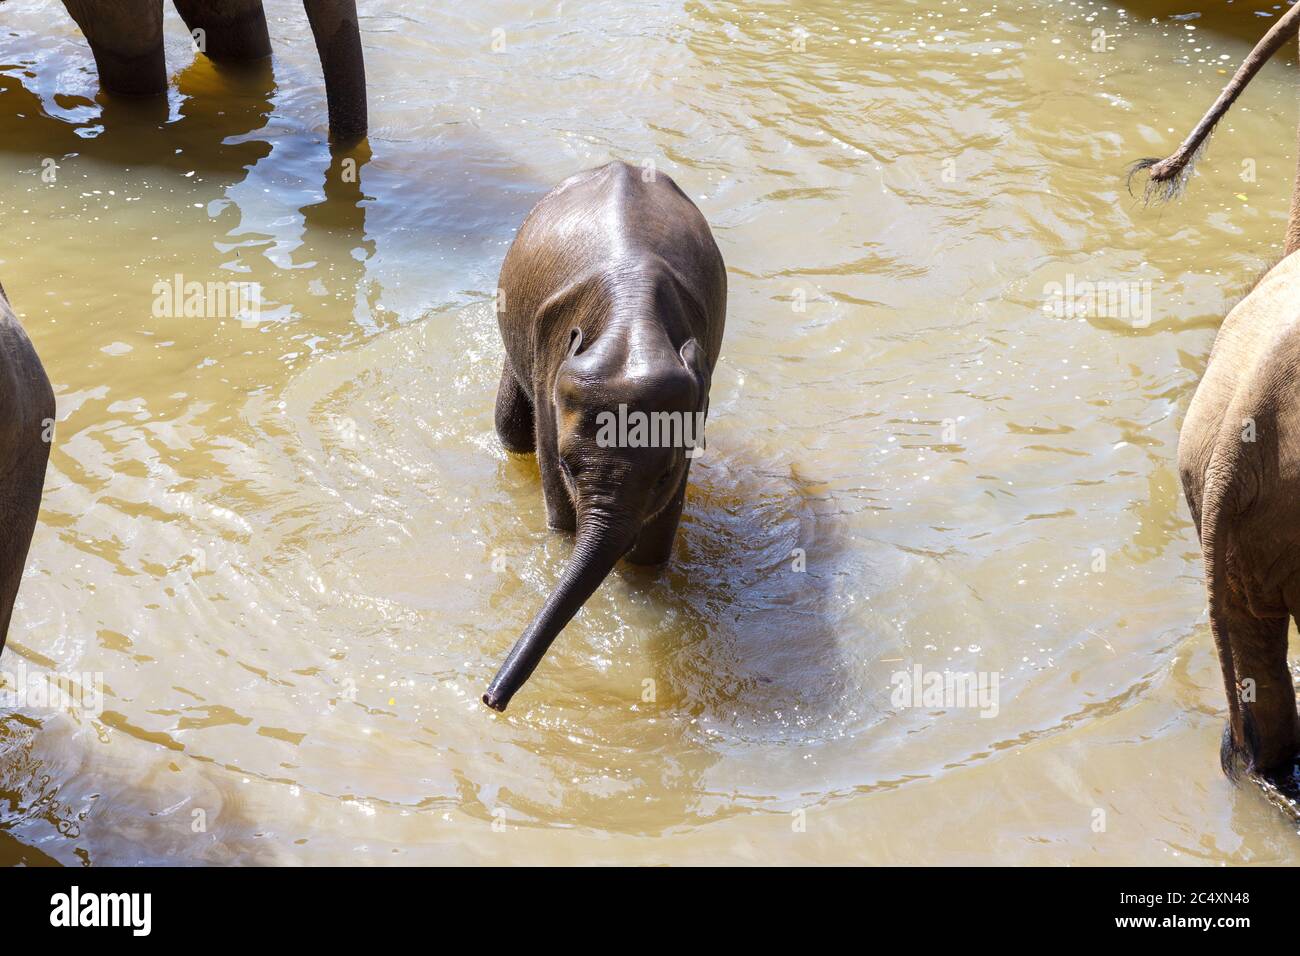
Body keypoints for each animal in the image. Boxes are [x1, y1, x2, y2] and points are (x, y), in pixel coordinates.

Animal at [486, 160, 733, 712]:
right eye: (565, 465)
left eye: (664, 474)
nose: (491, 699)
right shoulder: (551, 376)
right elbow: (559, 512)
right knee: (510, 428)